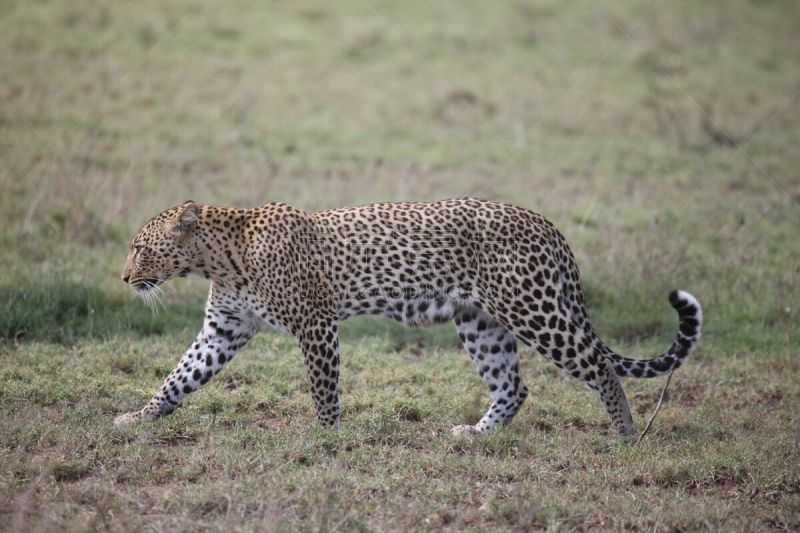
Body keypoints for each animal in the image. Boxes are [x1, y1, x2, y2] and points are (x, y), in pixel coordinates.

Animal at [112, 197, 700, 438]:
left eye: (140, 247)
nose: (123, 277)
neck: (220, 258)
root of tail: (547, 224)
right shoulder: (224, 330)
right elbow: (180, 376)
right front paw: (138, 418)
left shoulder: (316, 324)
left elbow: (323, 388)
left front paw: (327, 438)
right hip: (480, 322)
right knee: (512, 386)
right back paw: (475, 435)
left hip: (533, 309)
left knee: (598, 367)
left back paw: (624, 435)